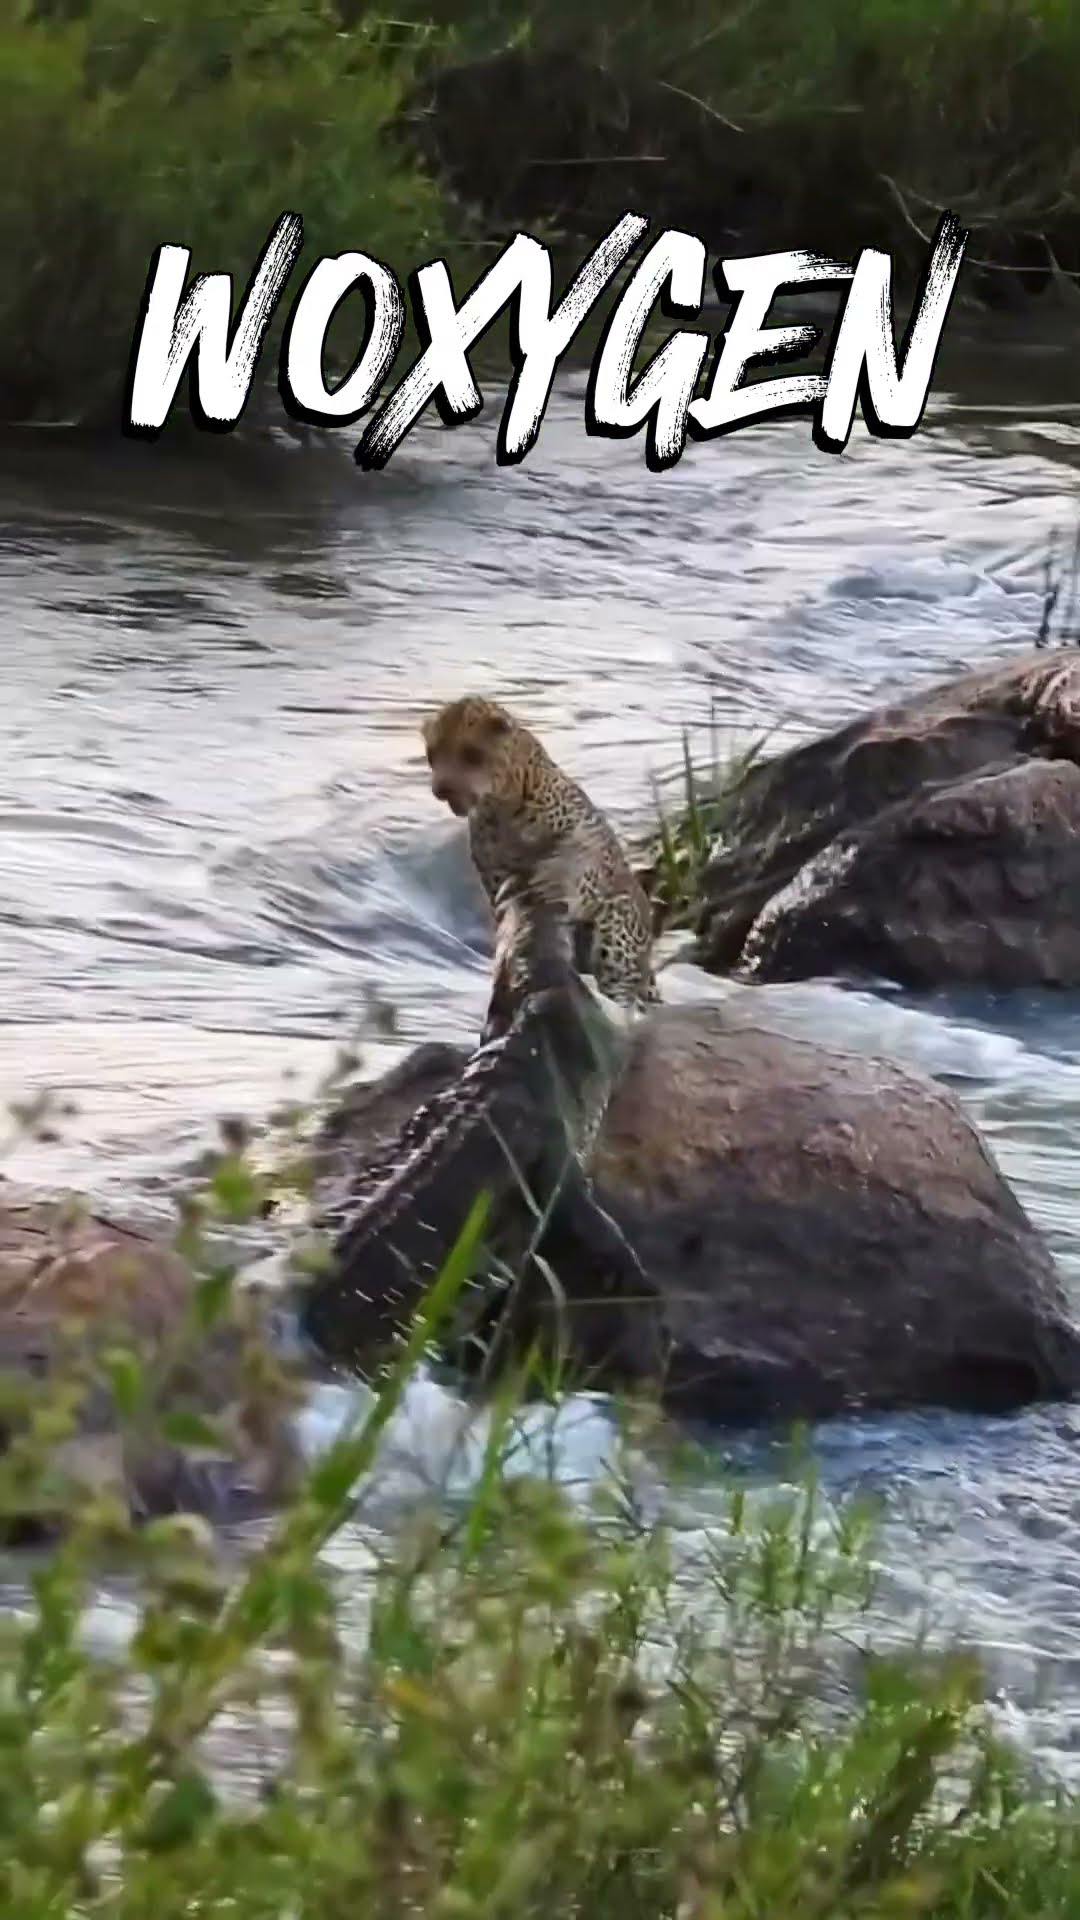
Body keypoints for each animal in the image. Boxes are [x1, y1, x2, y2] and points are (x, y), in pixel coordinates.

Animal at [421, 695, 659, 1015]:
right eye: (432, 755)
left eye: (471, 754)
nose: (441, 788)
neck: (501, 806)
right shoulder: (495, 874)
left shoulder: (586, 841)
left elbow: (576, 867)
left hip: (618, 929)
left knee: (624, 989)